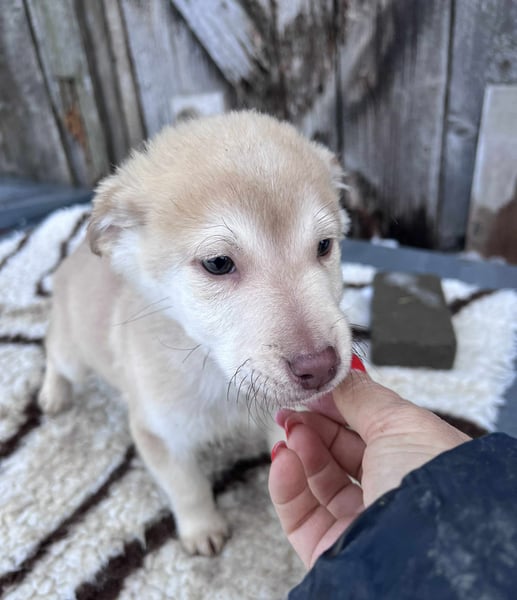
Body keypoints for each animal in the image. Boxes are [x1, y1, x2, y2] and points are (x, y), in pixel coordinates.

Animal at [38, 111, 353, 555]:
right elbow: (187, 488)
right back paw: (53, 394)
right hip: (74, 355)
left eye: (325, 245)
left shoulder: (282, 416)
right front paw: (202, 529)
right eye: (218, 263)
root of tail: (69, 260)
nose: (320, 367)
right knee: (52, 350)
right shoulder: (158, 434)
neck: (215, 372)